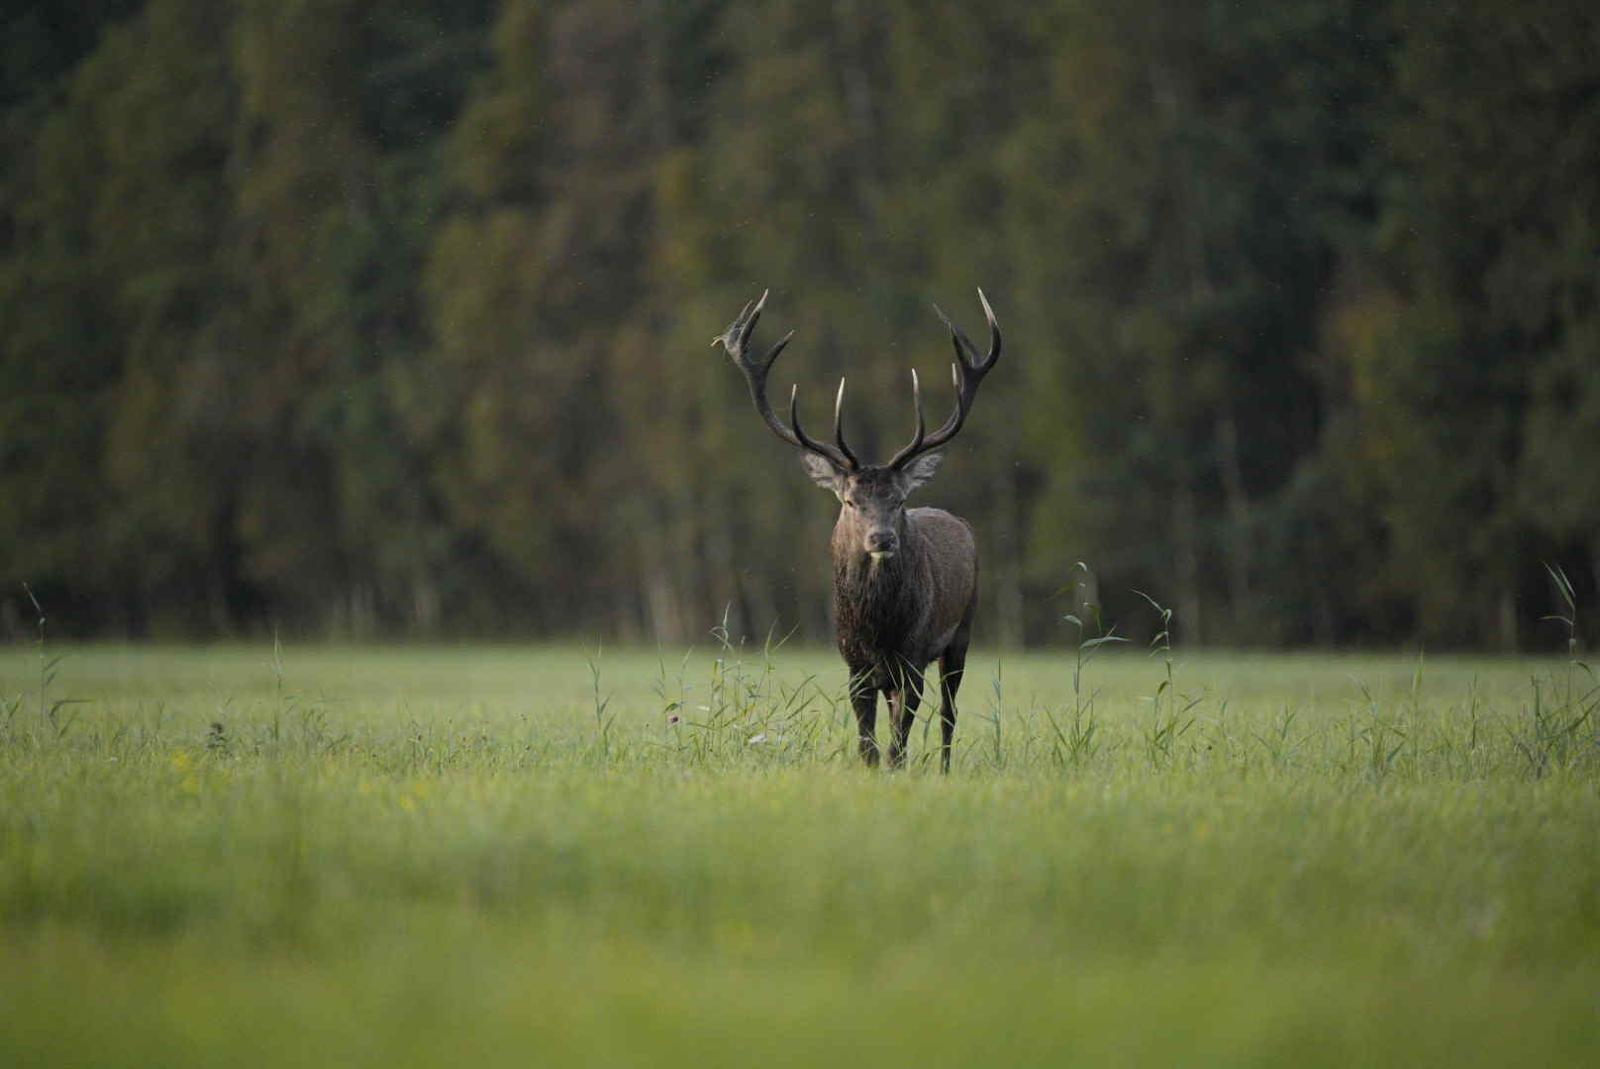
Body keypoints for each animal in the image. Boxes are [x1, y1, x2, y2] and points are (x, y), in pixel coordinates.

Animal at [712, 289, 1001, 772]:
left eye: (898, 500)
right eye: (849, 501)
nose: (881, 538)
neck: (877, 627)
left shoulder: (912, 657)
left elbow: (898, 744)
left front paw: (898, 771)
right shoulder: (855, 665)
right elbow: (868, 744)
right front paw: (870, 770)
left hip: (963, 630)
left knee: (949, 713)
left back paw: (944, 768)